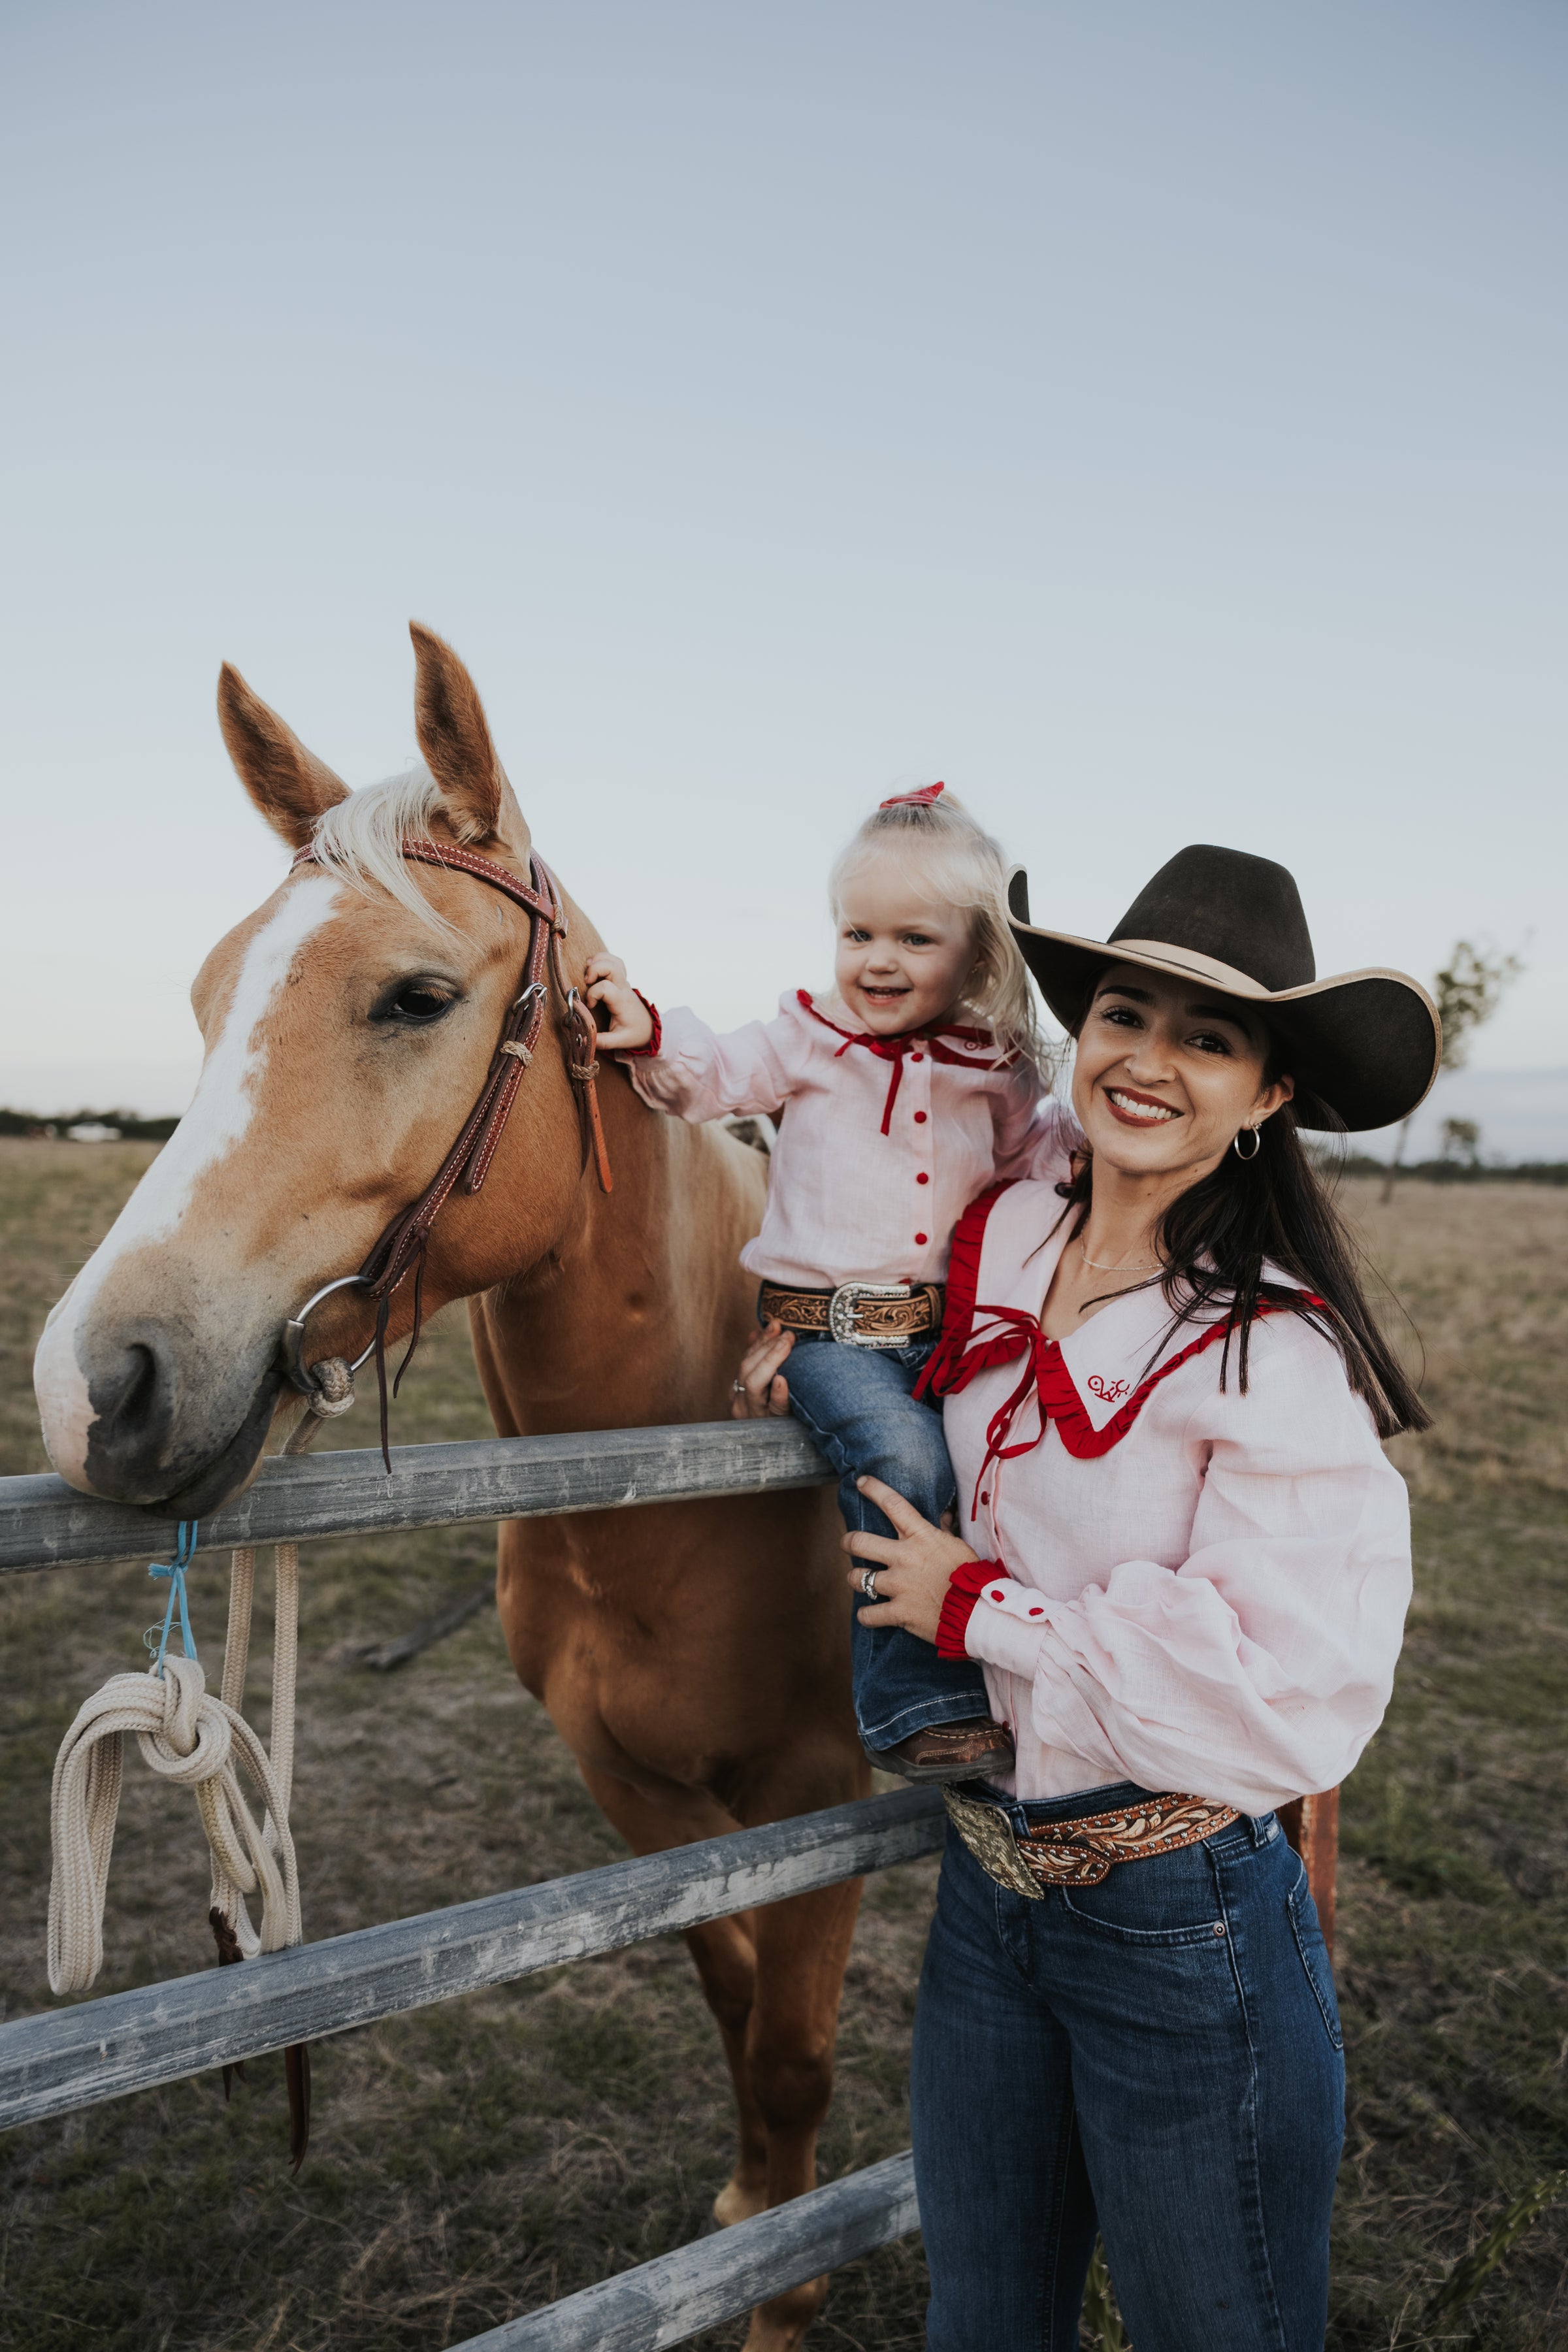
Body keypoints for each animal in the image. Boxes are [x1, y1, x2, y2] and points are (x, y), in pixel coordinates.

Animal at [33, 623, 867, 2351]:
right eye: (206, 996)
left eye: (415, 996)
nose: (94, 1389)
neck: (671, 1495)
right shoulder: (638, 1791)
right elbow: (729, 1994)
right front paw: (750, 2209)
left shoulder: (820, 1796)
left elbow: (792, 2053)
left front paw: (787, 2281)